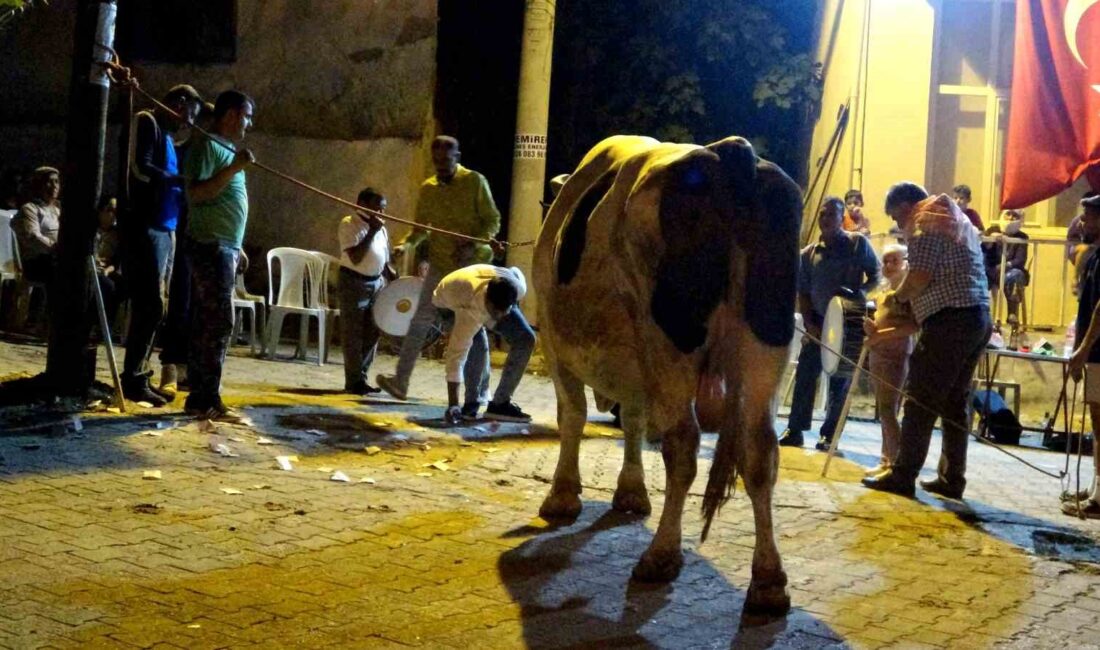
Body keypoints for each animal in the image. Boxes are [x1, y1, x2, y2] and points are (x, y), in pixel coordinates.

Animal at [532, 134, 800, 624]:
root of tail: (731, 151)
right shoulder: (637, 369)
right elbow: (634, 420)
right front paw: (631, 491)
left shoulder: (555, 342)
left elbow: (573, 415)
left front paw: (562, 496)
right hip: (766, 340)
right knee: (760, 452)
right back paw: (768, 583)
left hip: (670, 339)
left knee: (683, 444)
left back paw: (661, 554)